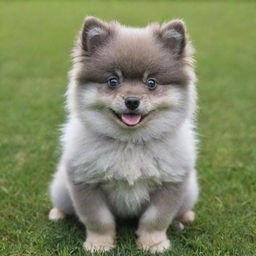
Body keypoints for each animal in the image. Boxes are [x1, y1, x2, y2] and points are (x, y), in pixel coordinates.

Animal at [49, 16, 199, 254]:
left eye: (151, 83)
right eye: (113, 81)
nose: (132, 101)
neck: (130, 143)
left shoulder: (171, 184)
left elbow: (155, 219)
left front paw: (153, 244)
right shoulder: (86, 182)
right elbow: (98, 220)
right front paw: (99, 245)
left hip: (190, 192)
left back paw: (184, 217)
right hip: (61, 189)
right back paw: (58, 213)